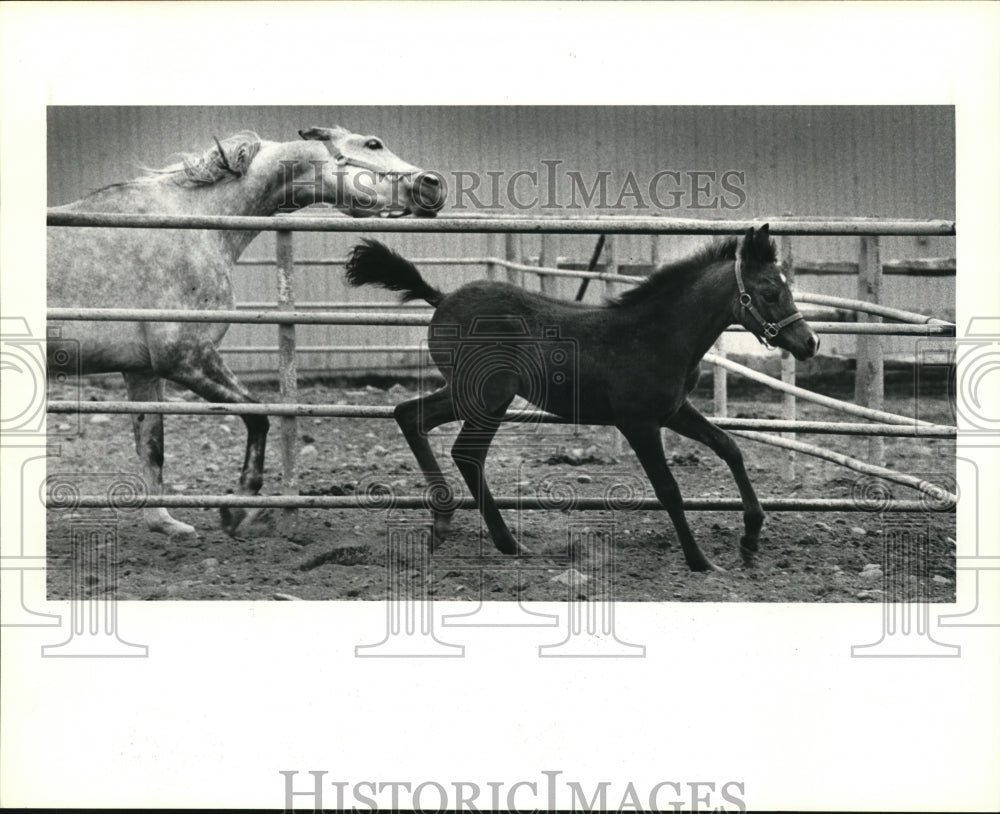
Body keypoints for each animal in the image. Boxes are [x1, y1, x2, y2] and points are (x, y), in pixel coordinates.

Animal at [46, 129, 446, 540]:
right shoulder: (185, 357)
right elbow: (258, 415)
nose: (433, 184)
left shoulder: (143, 371)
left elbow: (152, 447)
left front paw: (165, 523)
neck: (191, 223)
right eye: (372, 144)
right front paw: (236, 507)